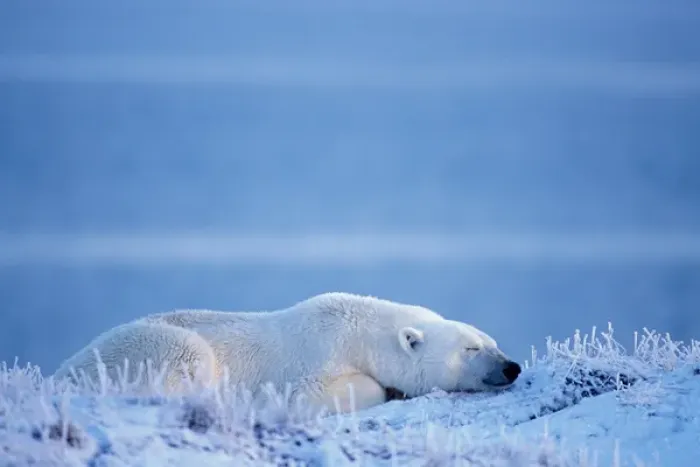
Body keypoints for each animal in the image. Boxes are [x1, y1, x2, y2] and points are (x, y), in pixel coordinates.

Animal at [52, 292, 521, 414]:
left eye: (494, 342)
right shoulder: (318, 356)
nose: (511, 367)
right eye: (471, 347)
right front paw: (388, 390)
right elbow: (307, 396)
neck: (361, 331)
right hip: (153, 345)